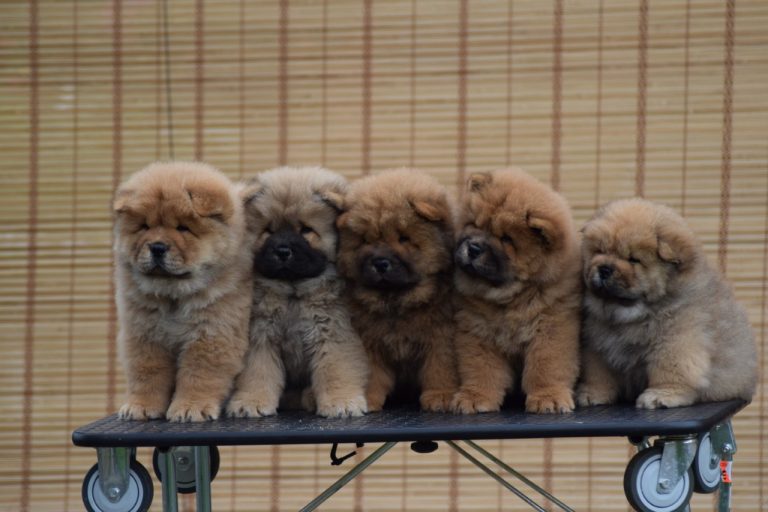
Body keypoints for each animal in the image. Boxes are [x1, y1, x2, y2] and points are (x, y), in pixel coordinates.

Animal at [112, 162, 250, 422]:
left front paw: (190, 408)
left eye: (183, 228)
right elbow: (146, 374)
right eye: (144, 227)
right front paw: (140, 407)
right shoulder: (144, 334)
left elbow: (198, 375)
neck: (173, 296)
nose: (157, 247)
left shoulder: (211, 333)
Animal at [225, 166, 368, 418]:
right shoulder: (260, 337)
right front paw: (251, 402)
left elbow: (336, 369)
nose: (282, 251)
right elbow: (257, 373)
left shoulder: (334, 332)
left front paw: (341, 402)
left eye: (306, 230)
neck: (293, 291)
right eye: (268, 231)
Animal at [336, 170, 456, 414]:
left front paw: (440, 396)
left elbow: (440, 368)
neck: (396, 303)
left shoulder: (441, 335)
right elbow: (371, 373)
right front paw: (367, 399)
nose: (380, 262)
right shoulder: (369, 340)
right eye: (366, 240)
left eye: (403, 238)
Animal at [450, 170, 584, 414]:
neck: (510, 298)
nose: (473, 247)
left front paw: (548, 398)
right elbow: (481, 369)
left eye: (506, 239)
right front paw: (475, 397)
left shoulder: (552, 329)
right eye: (473, 224)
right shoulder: (477, 331)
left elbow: (546, 367)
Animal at [576, 198, 756, 410]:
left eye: (633, 259)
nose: (604, 268)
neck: (629, 315)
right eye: (600, 251)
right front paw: (592, 393)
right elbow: (598, 373)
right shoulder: (598, 345)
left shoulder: (676, 339)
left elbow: (670, 368)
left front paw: (661, 396)